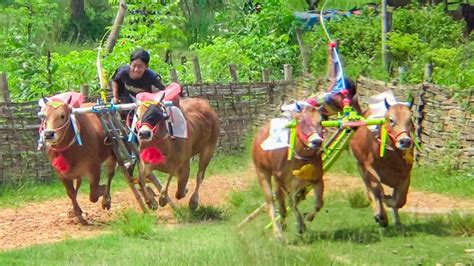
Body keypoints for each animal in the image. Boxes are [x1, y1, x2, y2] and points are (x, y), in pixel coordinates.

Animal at [39, 94, 115, 223]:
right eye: (44, 116)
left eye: (62, 115)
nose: (48, 134)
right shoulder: (61, 174)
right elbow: (71, 193)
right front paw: (77, 213)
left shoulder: (94, 169)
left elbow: (93, 195)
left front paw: (104, 193)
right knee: (78, 184)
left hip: (112, 155)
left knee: (110, 174)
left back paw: (106, 200)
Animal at [252, 106, 326, 239]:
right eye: (300, 120)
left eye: (320, 120)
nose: (317, 141)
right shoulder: (281, 180)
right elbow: (291, 204)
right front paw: (300, 225)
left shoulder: (317, 179)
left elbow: (318, 204)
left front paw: (307, 218)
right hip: (262, 173)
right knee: (271, 203)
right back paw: (277, 233)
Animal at [348, 98, 414, 228]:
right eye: (391, 120)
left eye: (410, 120)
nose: (405, 141)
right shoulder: (370, 170)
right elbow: (378, 191)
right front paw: (382, 216)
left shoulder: (405, 176)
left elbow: (399, 201)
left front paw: (390, 203)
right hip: (360, 167)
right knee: (370, 192)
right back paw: (380, 215)